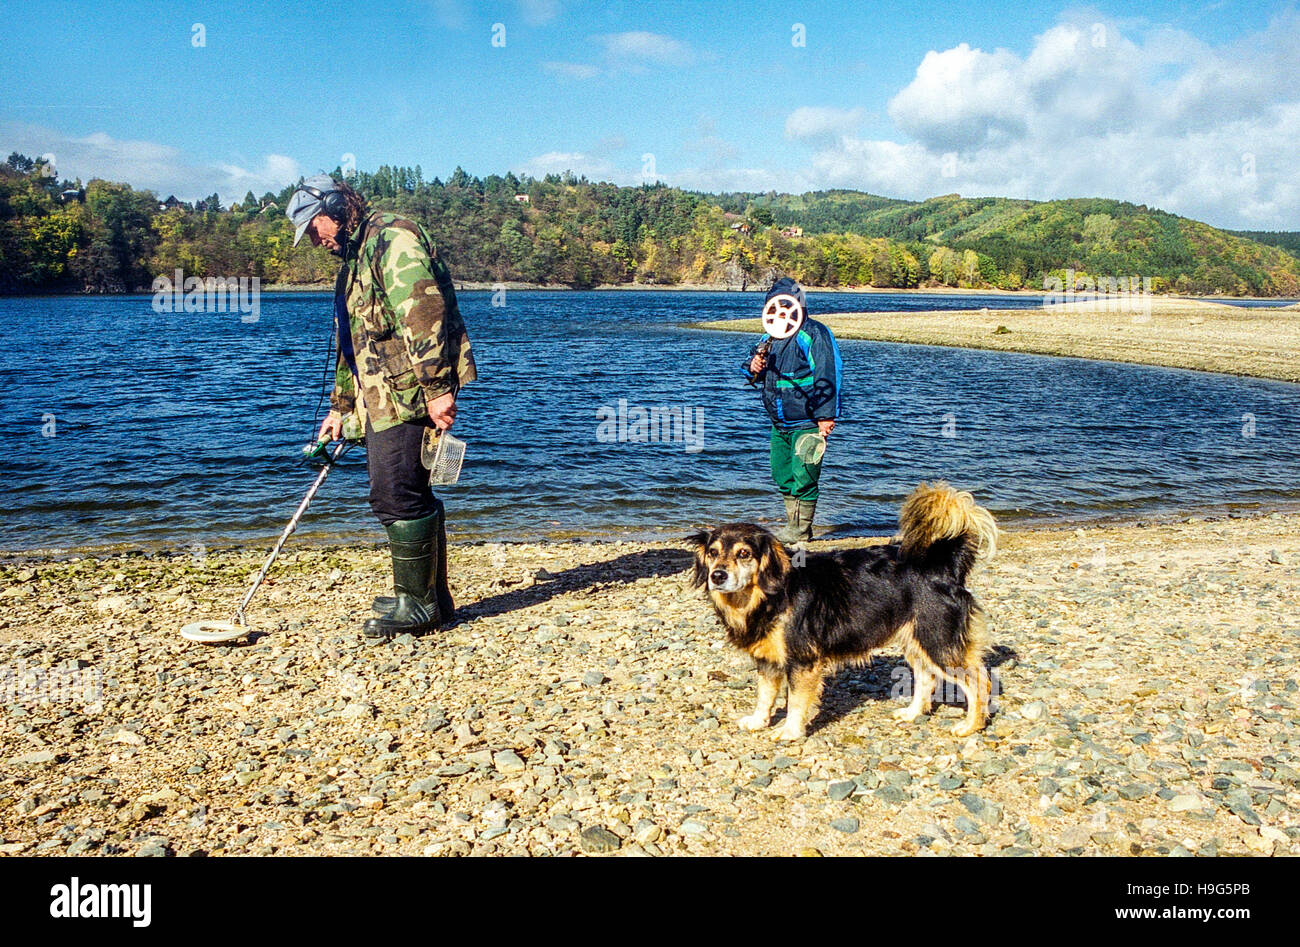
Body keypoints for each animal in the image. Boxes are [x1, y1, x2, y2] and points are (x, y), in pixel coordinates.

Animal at [691, 483, 993, 744]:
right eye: (713, 553)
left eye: (744, 554)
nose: (717, 576)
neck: (767, 596)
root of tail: (943, 565)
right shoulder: (767, 659)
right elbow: (765, 694)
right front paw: (758, 721)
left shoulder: (803, 661)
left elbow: (796, 701)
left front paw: (789, 731)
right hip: (916, 638)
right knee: (926, 677)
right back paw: (912, 713)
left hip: (939, 640)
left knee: (979, 681)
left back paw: (971, 726)